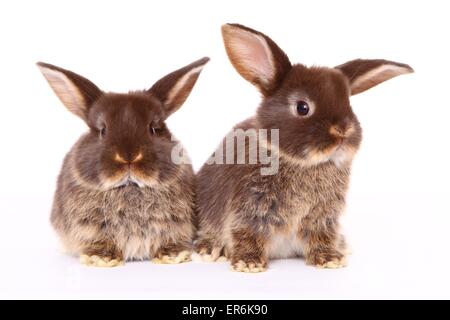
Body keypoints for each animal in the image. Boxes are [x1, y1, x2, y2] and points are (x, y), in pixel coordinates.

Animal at [37, 57, 210, 268]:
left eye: (153, 128)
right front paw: (101, 259)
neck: (130, 187)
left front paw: (173, 256)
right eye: (103, 130)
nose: (129, 157)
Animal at [195, 23, 414, 272]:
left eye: (349, 105)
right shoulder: (250, 207)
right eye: (302, 107)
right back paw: (210, 250)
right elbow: (246, 232)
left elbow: (322, 236)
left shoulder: (323, 216)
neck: (303, 163)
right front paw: (248, 262)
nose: (343, 130)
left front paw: (330, 258)